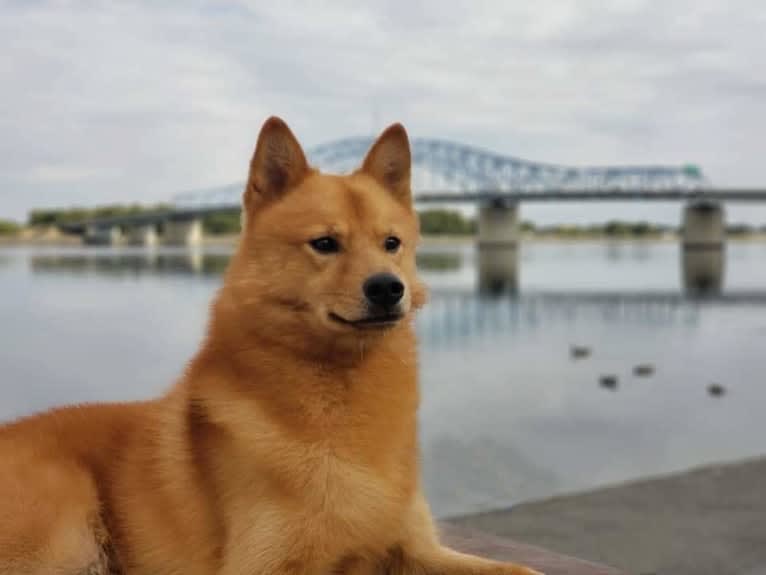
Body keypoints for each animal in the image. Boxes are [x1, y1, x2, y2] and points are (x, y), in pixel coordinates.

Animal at [0, 118, 544, 575]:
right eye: (324, 243)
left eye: (392, 243)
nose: (389, 288)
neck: (341, 399)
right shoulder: (267, 564)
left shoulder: (414, 548)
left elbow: (518, 570)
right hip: (64, 531)